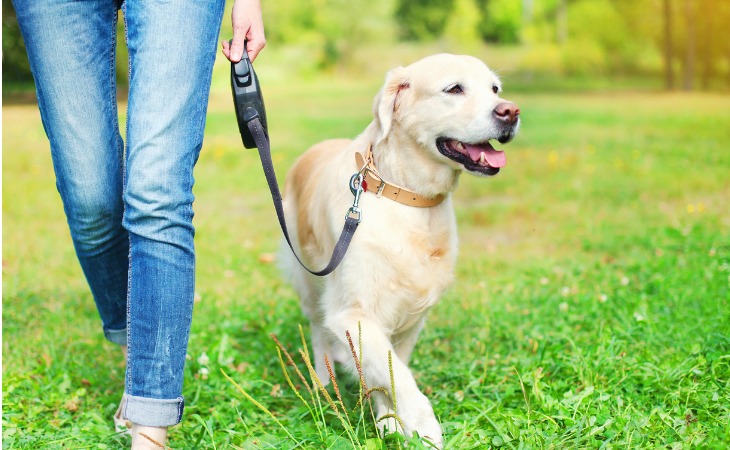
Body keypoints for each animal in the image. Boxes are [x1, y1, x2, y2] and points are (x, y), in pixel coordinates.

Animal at [278, 53, 516, 446]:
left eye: (495, 89)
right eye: (454, 89)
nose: (510, 111)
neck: (406, 195)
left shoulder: (412, 316)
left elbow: (389, 370)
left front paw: (389, 420)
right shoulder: (352, 312)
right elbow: (399, 377)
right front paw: (425, 430)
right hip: (309, 281)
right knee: (317, 331)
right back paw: (323, 382)